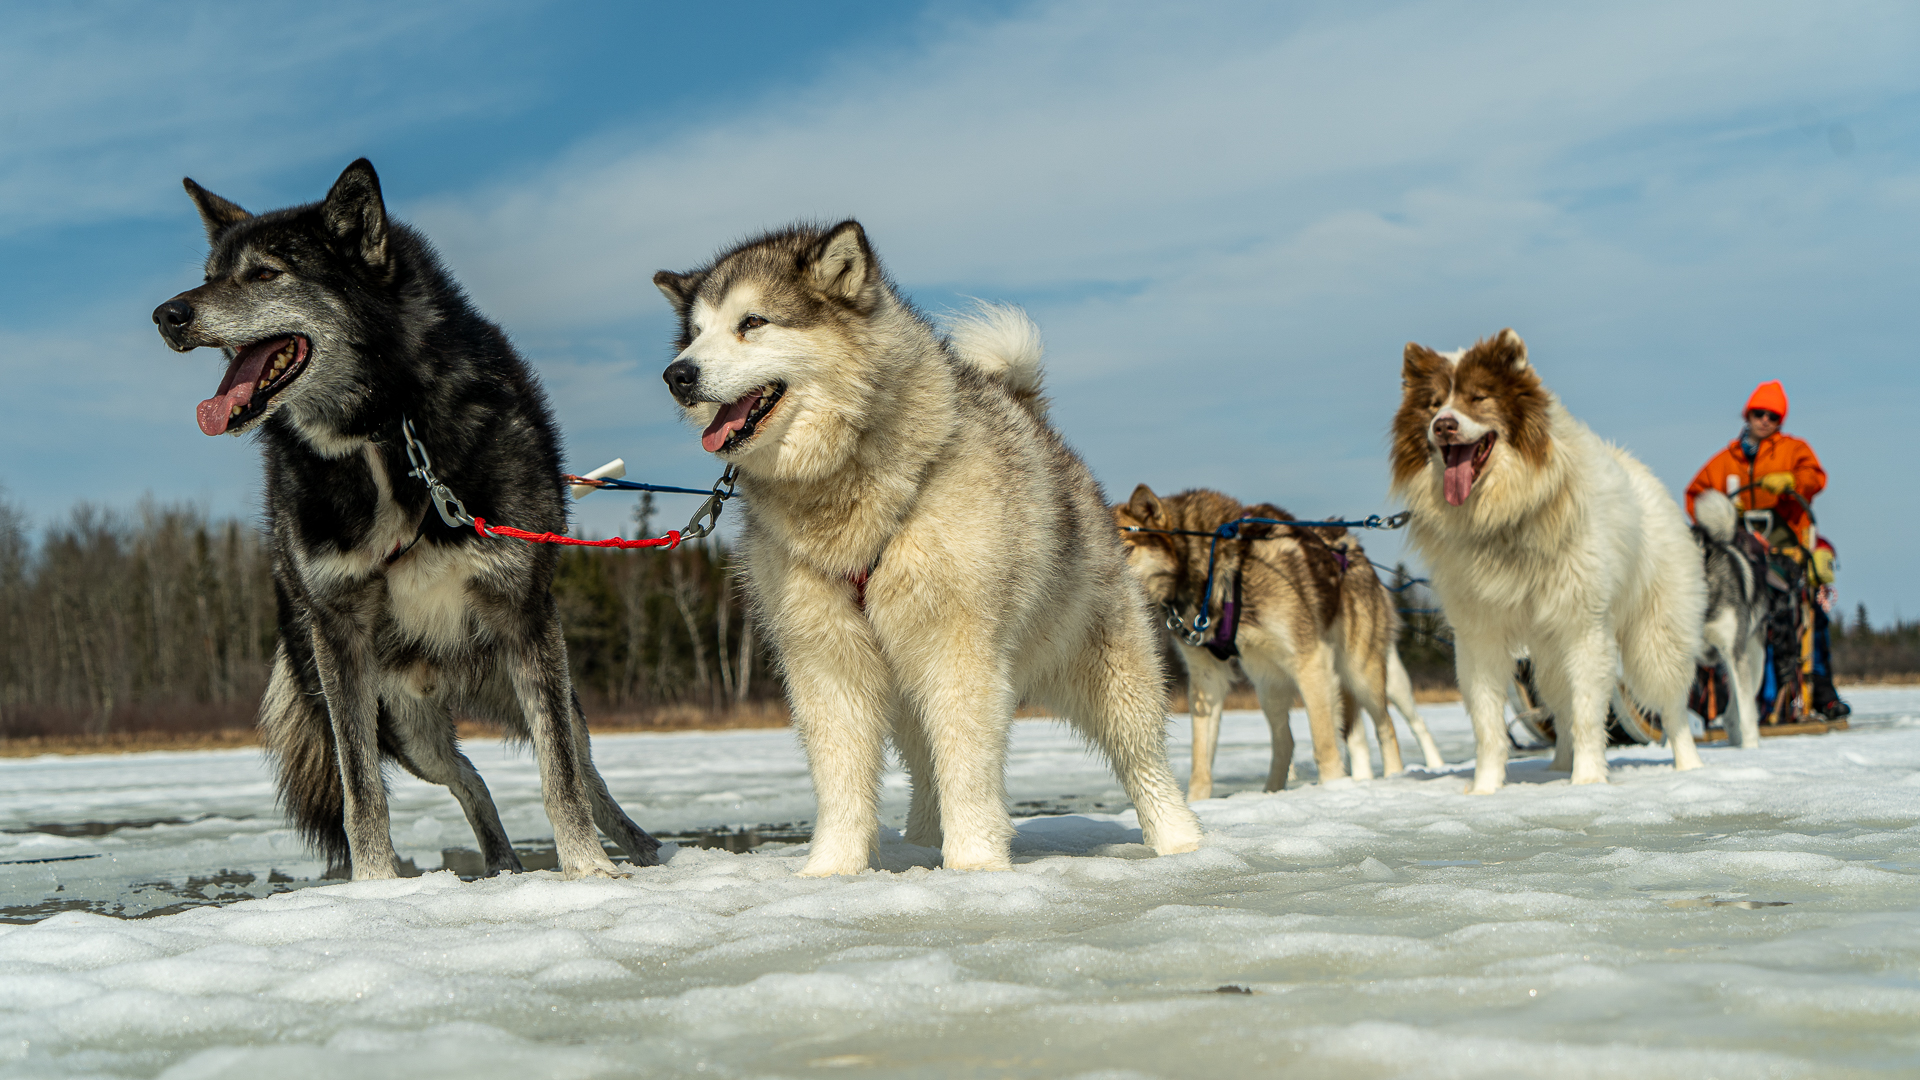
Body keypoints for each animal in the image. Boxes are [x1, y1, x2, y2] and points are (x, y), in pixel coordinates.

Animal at [656, 220, 1198, 876]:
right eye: (694, 333)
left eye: (752, 322)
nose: (677, 375)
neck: (850, 487)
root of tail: (1028, 412)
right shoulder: (824, 657)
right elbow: (841, 779)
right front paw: (831, 871)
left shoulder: (958, 648)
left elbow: (966, 767)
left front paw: (975, 865)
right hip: (906, 689)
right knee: (923, 769)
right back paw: (919, 843)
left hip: (1109, 669)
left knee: (1142, 757)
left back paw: (1179, 841)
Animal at [1113, 484, 1443, 795]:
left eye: (1125, 549)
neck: (1215, 567)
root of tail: (1352, 544)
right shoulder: (1207, 678)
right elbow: (1201, 762)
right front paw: (1197, 801)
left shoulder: (1311, 660)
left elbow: (1324, 742)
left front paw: (1333, 788)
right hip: (1270, 683)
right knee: (1288, 741)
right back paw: (1273, 792)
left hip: (1360, 673)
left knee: (1386, 727)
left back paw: (1393, 776)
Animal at [1390, 328, 1704, 791]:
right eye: (1432, 403)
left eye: (1478, 397)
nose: (1443, 424)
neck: (1503, 518)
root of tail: (1642, 474)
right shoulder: (1479, 634)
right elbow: (1488, 724)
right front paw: (1484, 789)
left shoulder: (1585, 627)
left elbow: (1591, 714)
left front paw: (1588, 782)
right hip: (1550, 656)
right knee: (1562, 708)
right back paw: (1558, 765)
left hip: (1655, 637)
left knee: (1673, 708)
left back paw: (1689, 767)